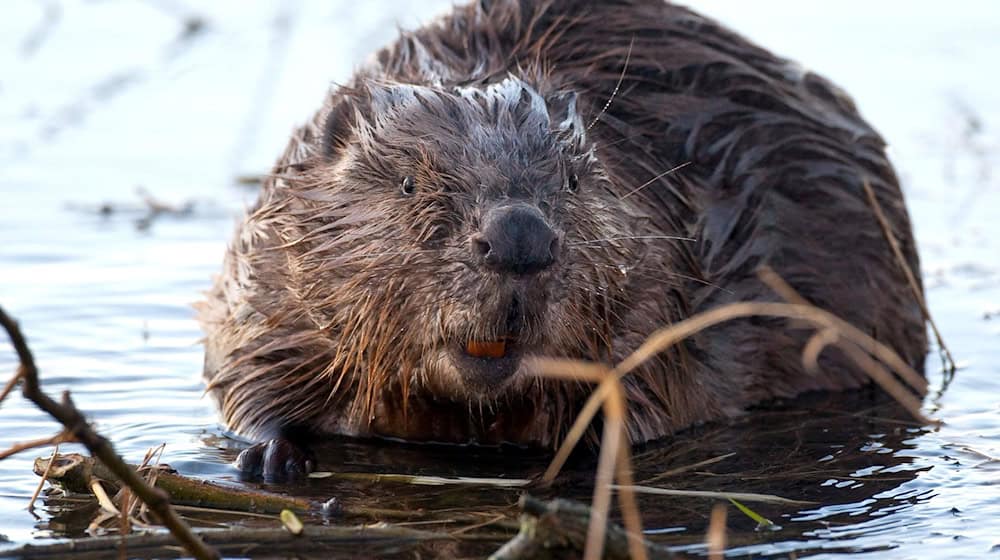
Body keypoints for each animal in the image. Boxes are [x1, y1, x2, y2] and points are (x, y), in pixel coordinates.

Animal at [197, 0, 928, 480]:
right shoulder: (268, 274)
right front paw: (269, 454)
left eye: (573, 180)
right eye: (407, 182)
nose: (519, 237)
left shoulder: (662, 290)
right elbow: (245, 375)